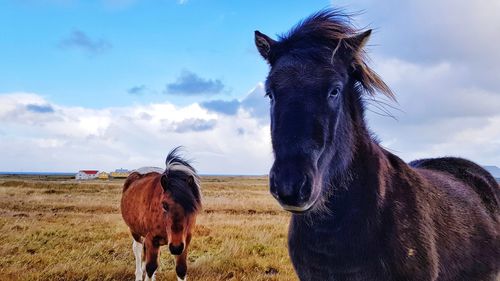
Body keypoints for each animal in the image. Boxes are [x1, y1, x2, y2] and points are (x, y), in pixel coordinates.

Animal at [121, 148, 201, 278]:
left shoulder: (185, 241)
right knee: (138, 249)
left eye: (192, 206)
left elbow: (181, 270)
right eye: (164, 205)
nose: (175, 248)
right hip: (135, 230)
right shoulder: (152, 240)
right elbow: (150, 268)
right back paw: (138, 275)